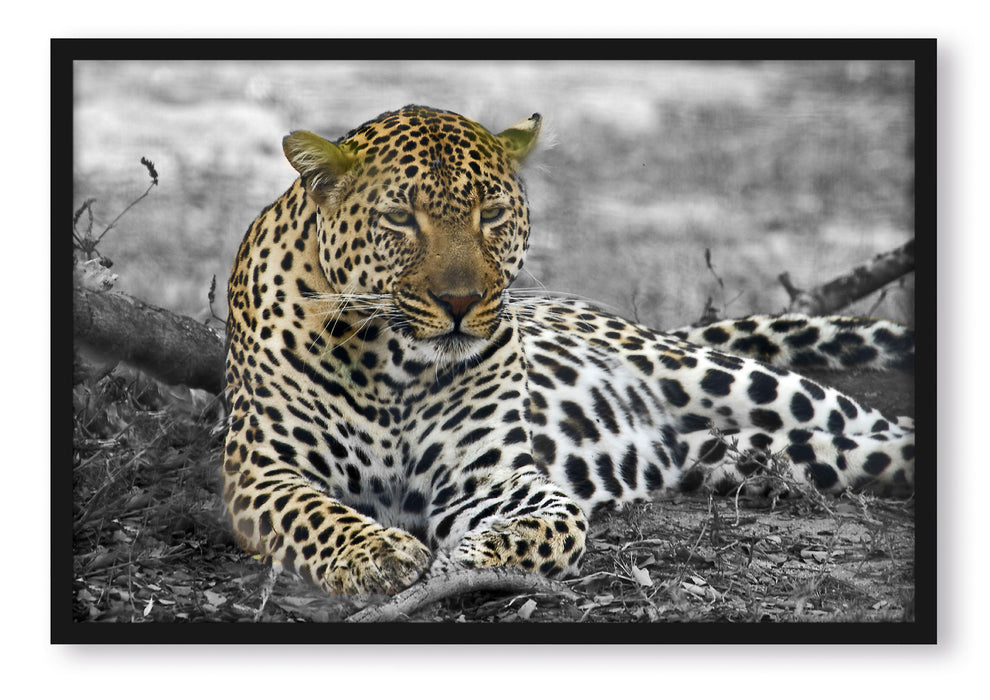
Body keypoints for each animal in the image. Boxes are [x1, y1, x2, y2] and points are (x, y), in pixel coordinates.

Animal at [222, 105, 914, 596]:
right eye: (398, 219)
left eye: (493, 214)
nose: (460, 301)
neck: (395, 363)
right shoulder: (260, 471)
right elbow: (315, 513)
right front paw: (379, 553)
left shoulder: (492, 478)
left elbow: (555, 522)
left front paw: (469, 558)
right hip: (754, 453)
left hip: (731, 378)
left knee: (876, 421)